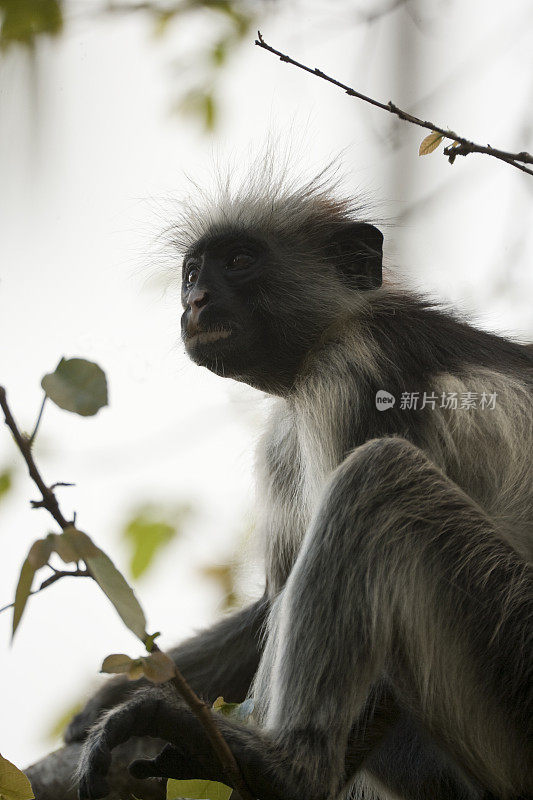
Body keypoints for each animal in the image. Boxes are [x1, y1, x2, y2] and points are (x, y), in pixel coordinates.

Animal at [71, 169, 532, 800]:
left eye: (240, 260)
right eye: (192, 273)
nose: (195, 300)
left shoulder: (356, 376)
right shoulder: (283, 435)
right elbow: (273, 601)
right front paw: (112, 696)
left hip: (512, 638)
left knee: (378, 476)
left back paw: (287, 766)